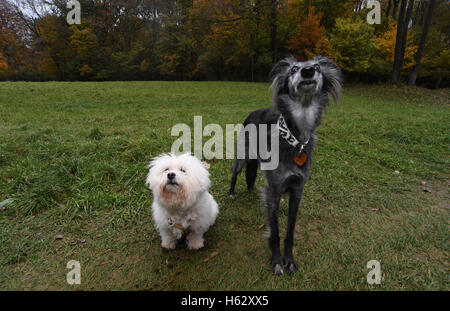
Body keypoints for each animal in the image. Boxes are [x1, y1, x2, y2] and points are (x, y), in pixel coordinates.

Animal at [230, 55, 342, 276]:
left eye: (317, 67)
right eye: (293, 70)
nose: (308, 71)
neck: (295, 139)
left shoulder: (297, 190)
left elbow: (290, 230)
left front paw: (289, 260)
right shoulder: (273, 189)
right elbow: (274, 232)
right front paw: (276, 261)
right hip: (242, 156)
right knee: (235, 173)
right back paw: (231, 192)